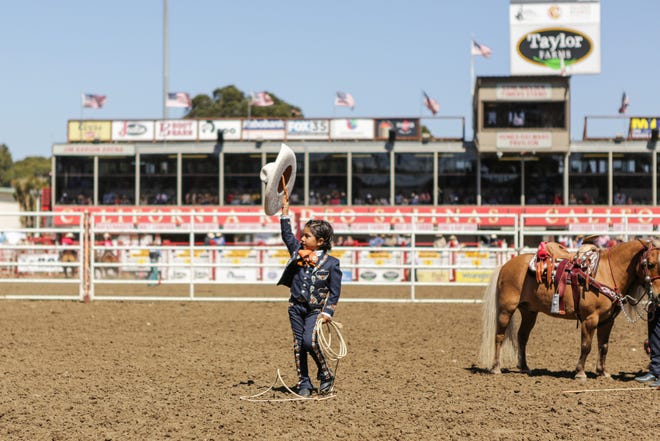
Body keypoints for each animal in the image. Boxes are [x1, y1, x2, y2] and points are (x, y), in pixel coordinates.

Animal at [480, 237, 660, 378]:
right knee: (499, 336)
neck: (607, 272)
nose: (658, 296)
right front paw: (580, 372)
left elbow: (604, 346)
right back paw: (496, 367)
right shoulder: (590, 319)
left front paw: (603, 372)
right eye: (650, 264)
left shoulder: (607, 321)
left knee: (522, 336)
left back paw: (525, 367)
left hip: (529, 311)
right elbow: (586, 346)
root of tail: (505, 265)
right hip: (506, 309)